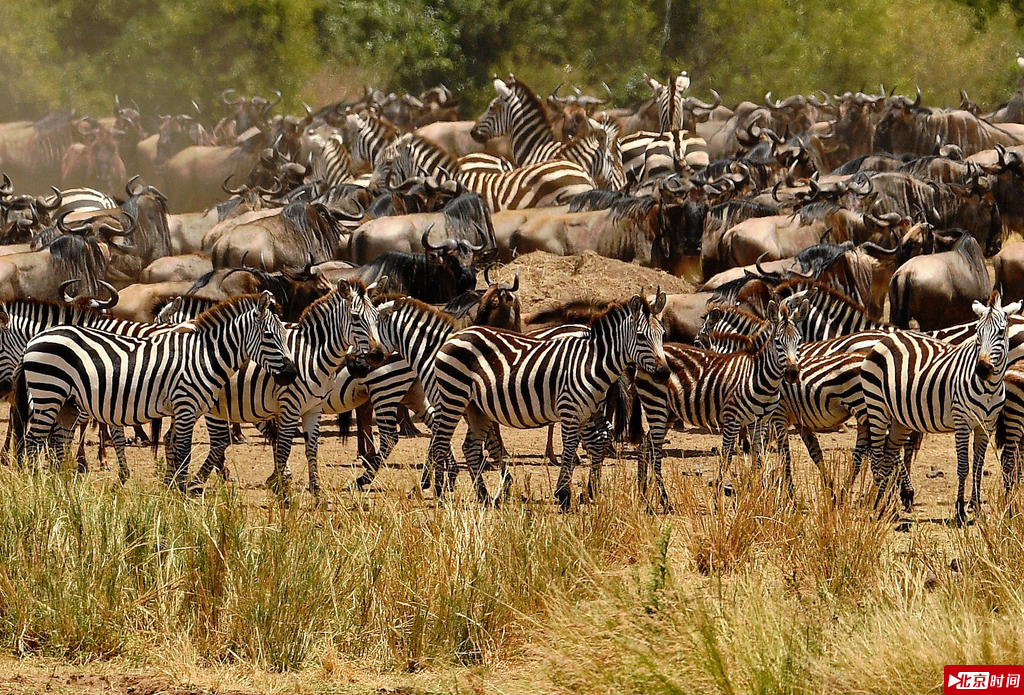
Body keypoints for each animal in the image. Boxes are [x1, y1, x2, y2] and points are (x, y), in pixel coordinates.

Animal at [18, 290, 299, 491]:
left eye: (284, 333)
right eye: (268, 335)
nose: (291, 374)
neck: (204, 356)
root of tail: (37, 337)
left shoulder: (188, 409)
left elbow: (175, 446)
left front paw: (173, 486)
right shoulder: (185, 406)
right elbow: (183, 451)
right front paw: (182, 493)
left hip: (67, 402)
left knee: (57, 439)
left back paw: (59, 485)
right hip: (48, 393)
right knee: (34, 440)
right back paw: (36, 486)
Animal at [425, 292, 671, 511]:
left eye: (663, 334)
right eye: (640, 336)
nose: (664, 373)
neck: (590, 363)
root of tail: (458, 333)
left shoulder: (587, 412)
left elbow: (593, 445)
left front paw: (584, 492)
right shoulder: (570, 410)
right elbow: (570, 449)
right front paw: (564, 495)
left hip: (477, 407)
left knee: (470, 448)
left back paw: (484, 497)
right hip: (453, 395)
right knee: (440, 443)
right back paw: (440, 496)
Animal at [630, 296, 806, 507]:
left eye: (798, 341)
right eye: (778, 342)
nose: (793, 373)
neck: (758, 376)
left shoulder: (760, 421)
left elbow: (758, 457)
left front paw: (758, 497)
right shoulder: (732, 419)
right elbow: (727, 457)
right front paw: (716, 501)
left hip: (668, 413)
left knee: (645, 446)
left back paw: (643, 496)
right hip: (655, 406)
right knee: (655, 451)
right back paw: (664, 501)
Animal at [860, 292, 1019, 522]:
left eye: (1000, 332)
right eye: (977, 332)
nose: (982, 369)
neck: (988, 387)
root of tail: (890, 337)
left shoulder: (986, 426)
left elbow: (978, 467)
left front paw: (976, 507)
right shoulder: (962, 422)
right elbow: (963, 466)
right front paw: (960, 510)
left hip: (900, 418)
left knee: (889, 455)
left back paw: (884, 505)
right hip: (877, 406)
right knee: (878, 456)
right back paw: (877, 506)